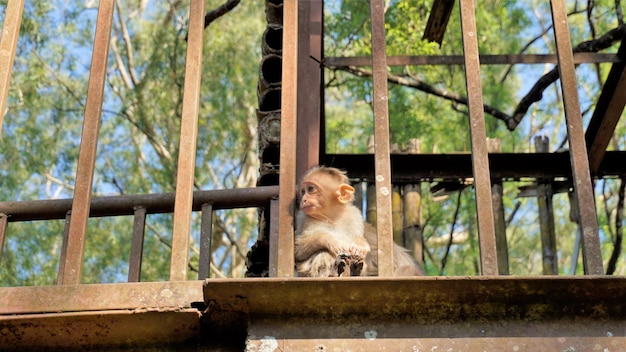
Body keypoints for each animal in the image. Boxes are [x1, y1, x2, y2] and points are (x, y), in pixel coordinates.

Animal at [294, 166, 424, 278]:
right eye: (303, 191)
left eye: (310, 189)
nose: (303, 200)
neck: (332, 217)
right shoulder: (303, 218)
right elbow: (298, 249)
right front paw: (332, 241)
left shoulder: (354, 214)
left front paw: (360, 244)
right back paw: (336, 270)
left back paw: (355, 269)